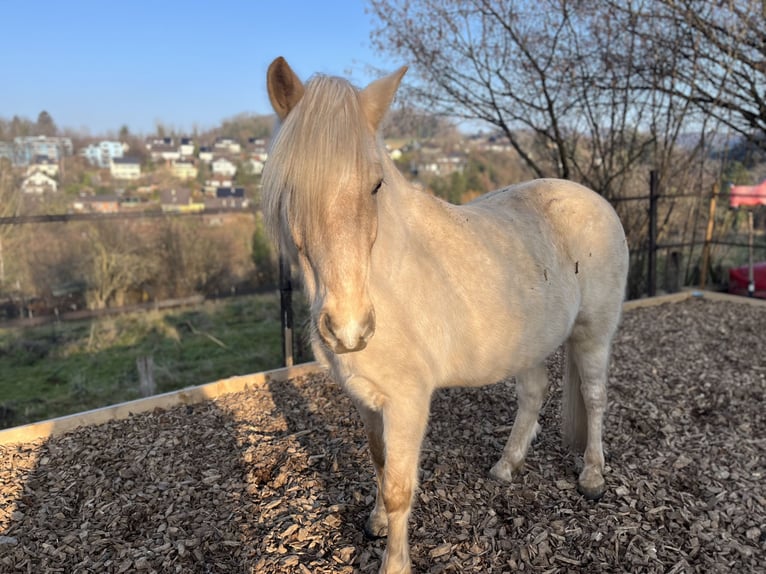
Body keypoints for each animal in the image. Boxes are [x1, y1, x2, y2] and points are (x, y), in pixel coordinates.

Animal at [262, 56, 629, 574]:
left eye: (376, 184)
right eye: (293, 188)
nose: (350, 330)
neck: (387, 279)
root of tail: (593, 199)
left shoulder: (408, 401)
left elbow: (399, 487)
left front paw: (394, 562)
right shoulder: (364, 397)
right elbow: (379, 461)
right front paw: (374, 522)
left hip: (593, 334)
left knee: (595, 398)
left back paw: (593, 476)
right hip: (527, 342)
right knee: (534, 394)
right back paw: (505, 467)